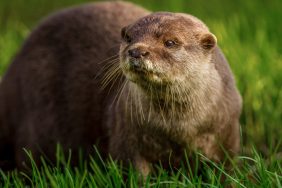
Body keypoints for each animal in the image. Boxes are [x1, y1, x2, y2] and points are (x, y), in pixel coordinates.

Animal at [0, 0, 242, 176]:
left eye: (170, 42)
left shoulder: (228, 136)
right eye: (128, 37)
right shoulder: (125, 136)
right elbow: (134, 172)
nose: (136, 51)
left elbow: (226, 170)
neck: (178, 129)